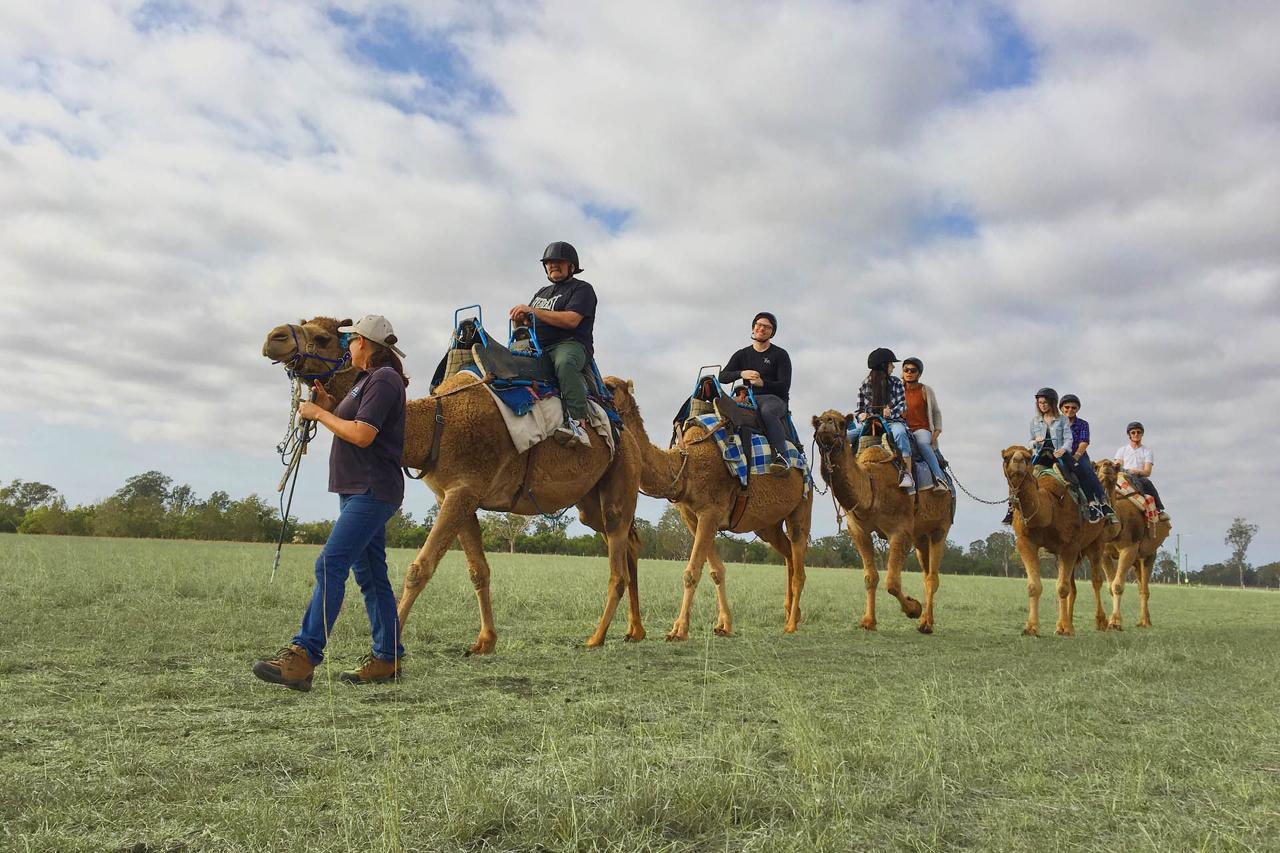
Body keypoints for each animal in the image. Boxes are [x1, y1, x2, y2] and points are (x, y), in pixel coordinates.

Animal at [259, 313, 645, 650]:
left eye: (323, 338)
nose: (273, 337)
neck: (436, 422)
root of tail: (621, 430)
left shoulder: (462, 490)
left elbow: (419, 569)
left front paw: (389, 646)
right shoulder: (457, 496)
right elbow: (478, 571)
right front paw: (485, 642)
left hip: (620, 476)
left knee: (617, 560)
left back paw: (596, 637)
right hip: (588, 502)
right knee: (628, 544)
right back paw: (634, 631)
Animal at [606, 379, 808, 637]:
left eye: (611, 386)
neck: (685, 464)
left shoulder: (710, 512)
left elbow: (691, 573)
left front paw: (679, 630)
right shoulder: (692, 517)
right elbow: (716, 571)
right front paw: (724, 625)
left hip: (801, 505)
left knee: (799, 561)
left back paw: (791, 624)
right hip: (768, 525)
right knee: (789, 556)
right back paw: (792, 614)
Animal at [814, 412, 957, 630]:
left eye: (841, 423)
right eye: (817, 422)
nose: (825, 426)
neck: (872, 485)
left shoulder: (900, 531)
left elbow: (892, 583)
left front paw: (913, 609)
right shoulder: (858, 530)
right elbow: (870, 577)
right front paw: (868, 621)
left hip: (940, 527)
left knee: (932, 576)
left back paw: (926, 623)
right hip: (920, 537)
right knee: (927, 573)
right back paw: (926, 619)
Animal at [993, 440, 1105, 635]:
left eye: (1027, 456)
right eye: (1006, 456)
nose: (1017, 460)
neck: (1050, 505)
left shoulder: (1070, 545)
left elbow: (1062, 587)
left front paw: (1065, 630)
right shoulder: (1025, 542)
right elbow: (1034, 586)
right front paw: (1031, 627)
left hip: (1096, 542)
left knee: (1096, 580)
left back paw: (1101, 623)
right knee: (1073, 584)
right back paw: (1065, 624)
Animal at [1090, 458, 1172, 625]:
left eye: (1115, 467)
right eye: (1096, 466)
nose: (1106, 466)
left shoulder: (1129, 548)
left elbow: (1118, 585)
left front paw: (1115, 622)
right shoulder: (1104, 553)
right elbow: (1111, 586)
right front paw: (1111, 620)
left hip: (1150, 554)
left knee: (1144, 588)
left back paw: (1145, 622)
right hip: (1137, 560)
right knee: (1141, 585)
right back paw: (1144, 620)